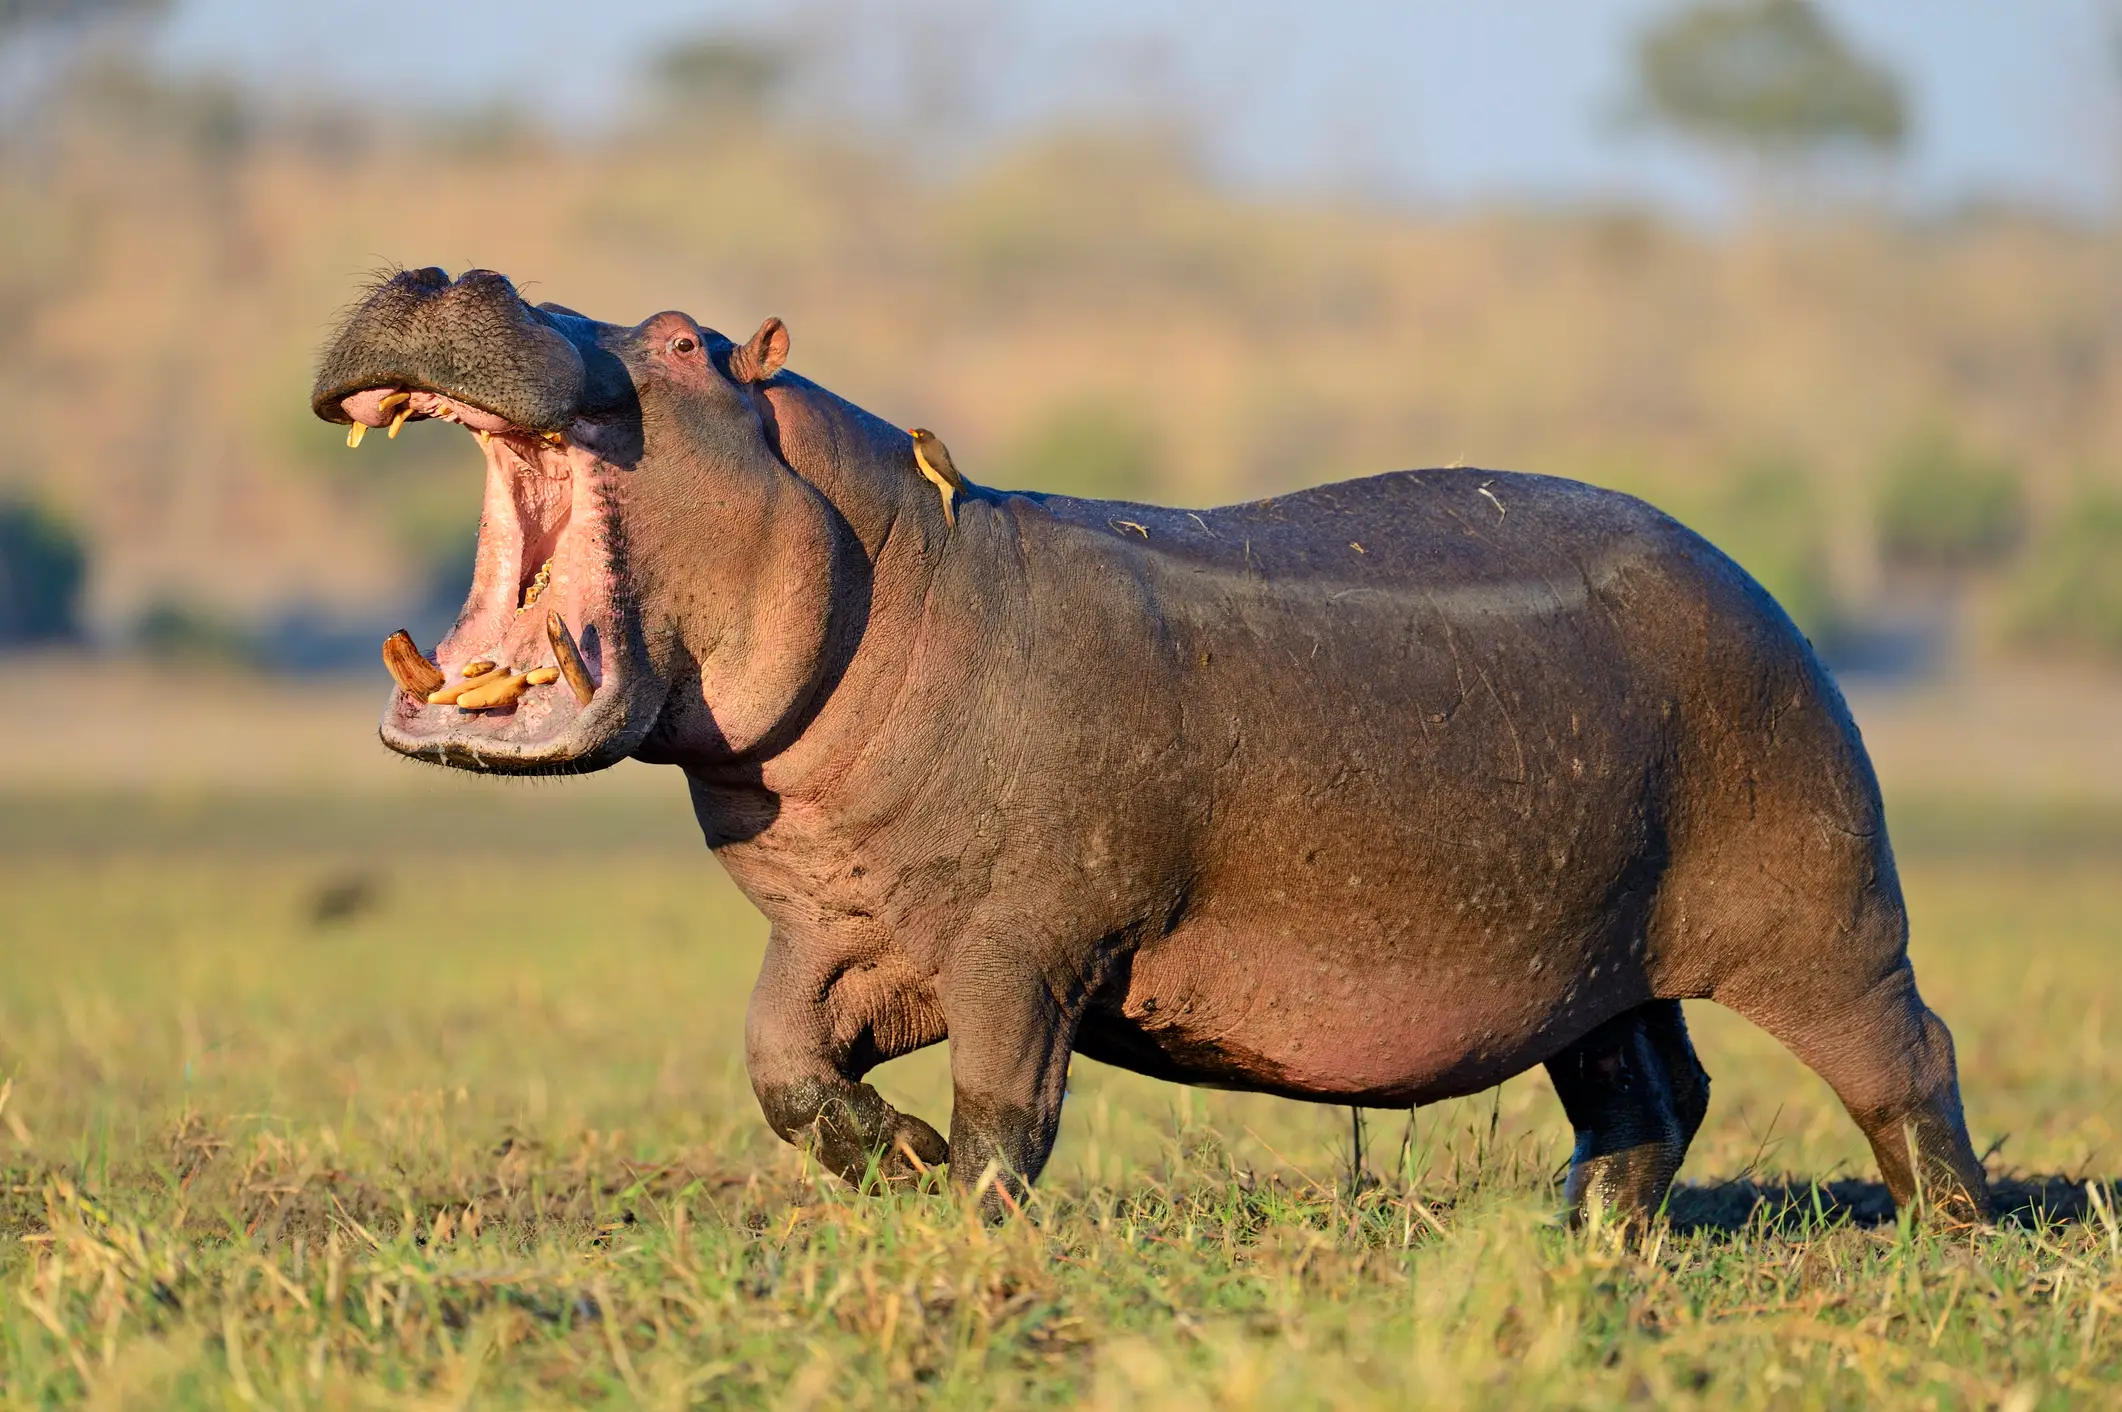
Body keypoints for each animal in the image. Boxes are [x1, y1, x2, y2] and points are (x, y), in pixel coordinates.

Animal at [312, 267, 1989, 1226]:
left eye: (677, 339)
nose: (449, 265)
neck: (889, 560)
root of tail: (1752, 581)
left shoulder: (1020, 942)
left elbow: (1008, 1107)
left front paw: (968, 1226)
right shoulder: (837, 930)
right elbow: (779, 1065)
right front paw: (895, 1168)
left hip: (1825, 906)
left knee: (1907, 1058)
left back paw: (1947, 1238)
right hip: (1590, 950)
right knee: (1650, 1090)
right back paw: (1575, 1240)